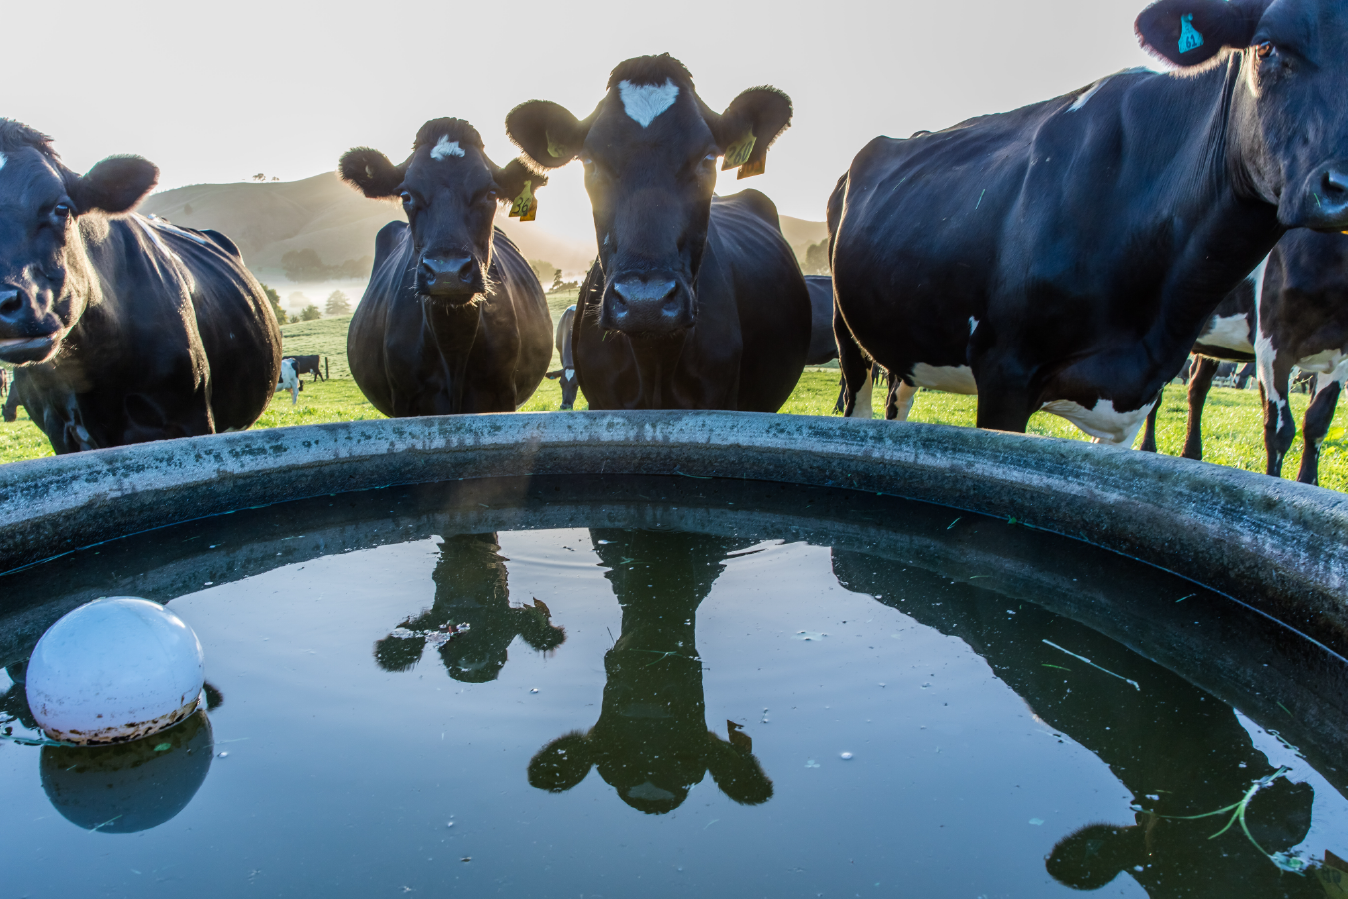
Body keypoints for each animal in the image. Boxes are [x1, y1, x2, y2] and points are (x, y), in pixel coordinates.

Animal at [342, 117, 552, 417]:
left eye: (490, 193)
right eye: (406, 195)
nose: (447, 273)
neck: (453, 346)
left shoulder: (502, 395)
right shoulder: (405, 401)